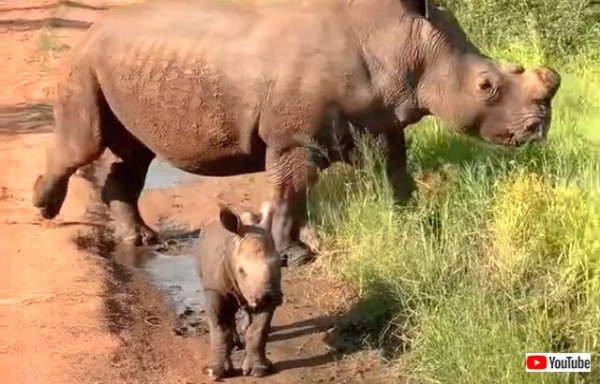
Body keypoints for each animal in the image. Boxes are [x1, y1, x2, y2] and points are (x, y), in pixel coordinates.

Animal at [34, 0, 564, 268]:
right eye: (486, 86)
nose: (537, 128)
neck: (407, 45)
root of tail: (92, 30)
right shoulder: (293, 138)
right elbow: (292, 190)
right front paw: (295, 254)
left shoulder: (379, 122)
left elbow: (396, 171)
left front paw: (412, 221)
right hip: (86, 63)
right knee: (88, 143)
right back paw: (43, 208)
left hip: (124, 65)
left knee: (135, 155)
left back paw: (141, 240)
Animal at [196, 202, 282, 380]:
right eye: (241, 270)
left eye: (280, 263)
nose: (270, 297)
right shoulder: (214, 289)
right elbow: (219, 328)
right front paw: (214, 371)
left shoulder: (264, 288)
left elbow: (258, 330)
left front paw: (259, 370)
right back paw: (235, 344)